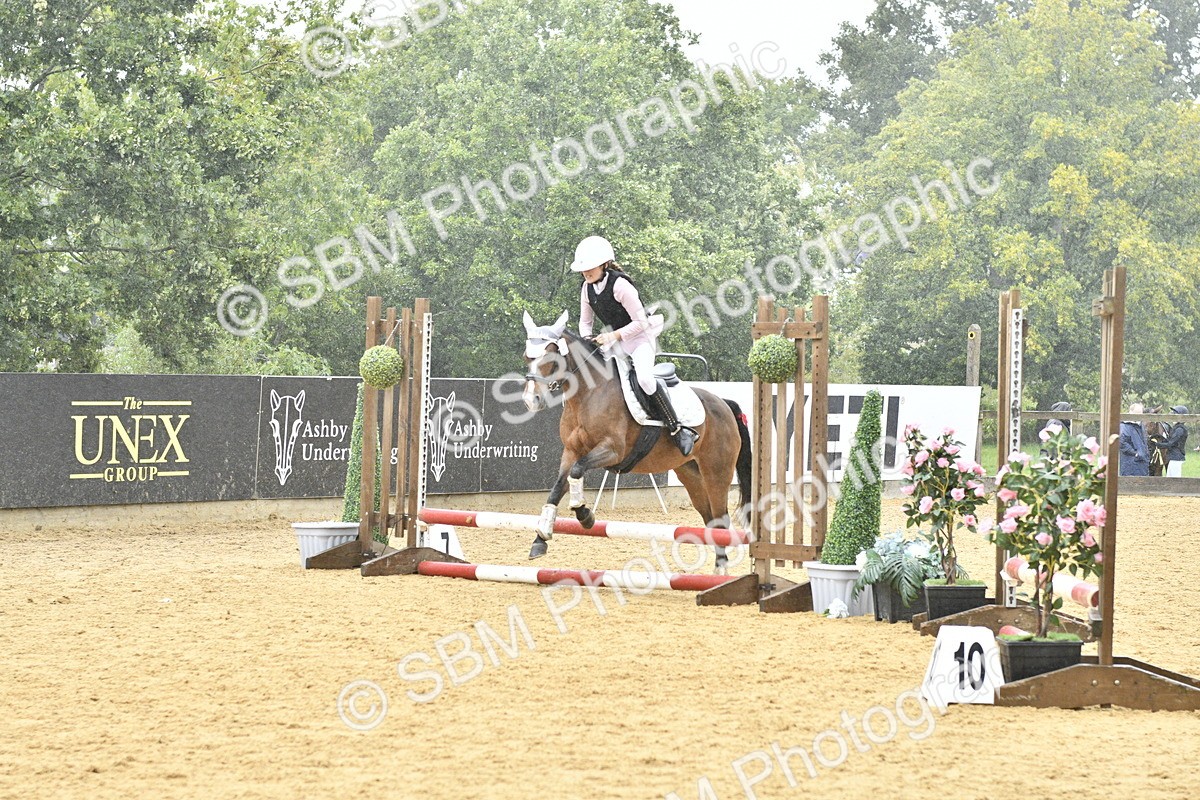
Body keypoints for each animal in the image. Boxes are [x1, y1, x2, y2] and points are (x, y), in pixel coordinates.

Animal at [520, 311, 752, 572]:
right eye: (526, 357)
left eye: (550, 357)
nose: (530, 400)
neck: (589, 395)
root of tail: (724, 403)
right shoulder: (571, 451)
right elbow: (558, 487)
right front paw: (540, 539)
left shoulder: (612, 450)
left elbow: (578, 471)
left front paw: (584, 514)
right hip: (691, 475)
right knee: (711, 519)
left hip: (716, 472)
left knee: (721, 519)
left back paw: (720, 571)